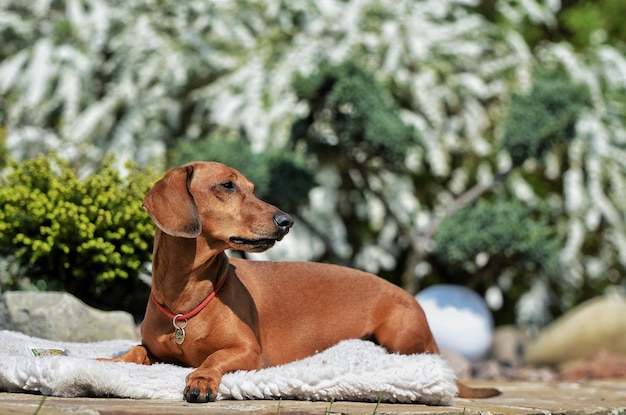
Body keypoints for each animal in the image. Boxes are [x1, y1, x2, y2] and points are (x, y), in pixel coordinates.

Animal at [108, 162, 498, 404]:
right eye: (227, 185)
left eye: (252, 188)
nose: (286, 221)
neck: (186, 298)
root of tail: (413, 301)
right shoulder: (155, 348)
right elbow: (136, 351)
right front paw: (111, 360)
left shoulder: (248, 351)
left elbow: (215, 358)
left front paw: (201, 378)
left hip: (399, 336)